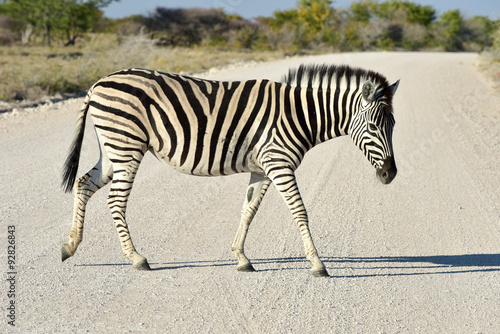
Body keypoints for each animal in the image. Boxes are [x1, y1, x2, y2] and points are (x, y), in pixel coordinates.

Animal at [61, 63, 398, 276]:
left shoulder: (263, 168)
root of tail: (97, 83)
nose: (390, 175)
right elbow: (300, 211)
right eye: (372, 127)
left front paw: (241, 258)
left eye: (393, 126)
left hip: (112, 147)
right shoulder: (279, 163)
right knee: (115, 201)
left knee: (83, 184)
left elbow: (248, 210)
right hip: (126, 145)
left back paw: (70, 245)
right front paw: (317, 264)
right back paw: (136, 258)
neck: (299, 115)